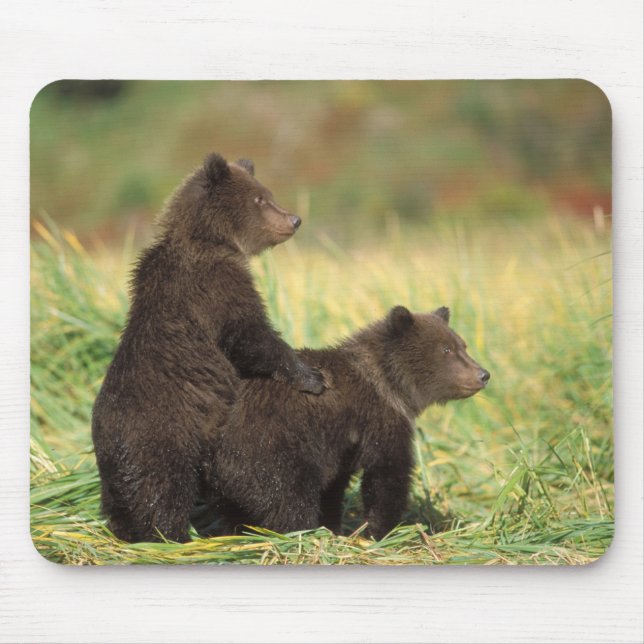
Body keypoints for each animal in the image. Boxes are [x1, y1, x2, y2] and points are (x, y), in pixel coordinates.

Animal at [92, 153, 326, 543]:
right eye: (260, 198)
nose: (294, 219)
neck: (210, 237)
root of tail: (108, 442)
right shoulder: (215, 284)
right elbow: (250, 333)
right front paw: (312, 376)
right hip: (164, 436)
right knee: (162, 491)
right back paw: (172, 536)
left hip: (116, 472)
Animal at [192, 305, 490, 541]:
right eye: (446, 349)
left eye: (462, 344)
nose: (483, 374)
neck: (390, 383)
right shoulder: (379, 419)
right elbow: (387, 474)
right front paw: (379, 531)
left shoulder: (340, 445)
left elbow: (335, 487)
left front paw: (335, 527)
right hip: (270, 448)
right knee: (289, 498)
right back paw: (298, 533)